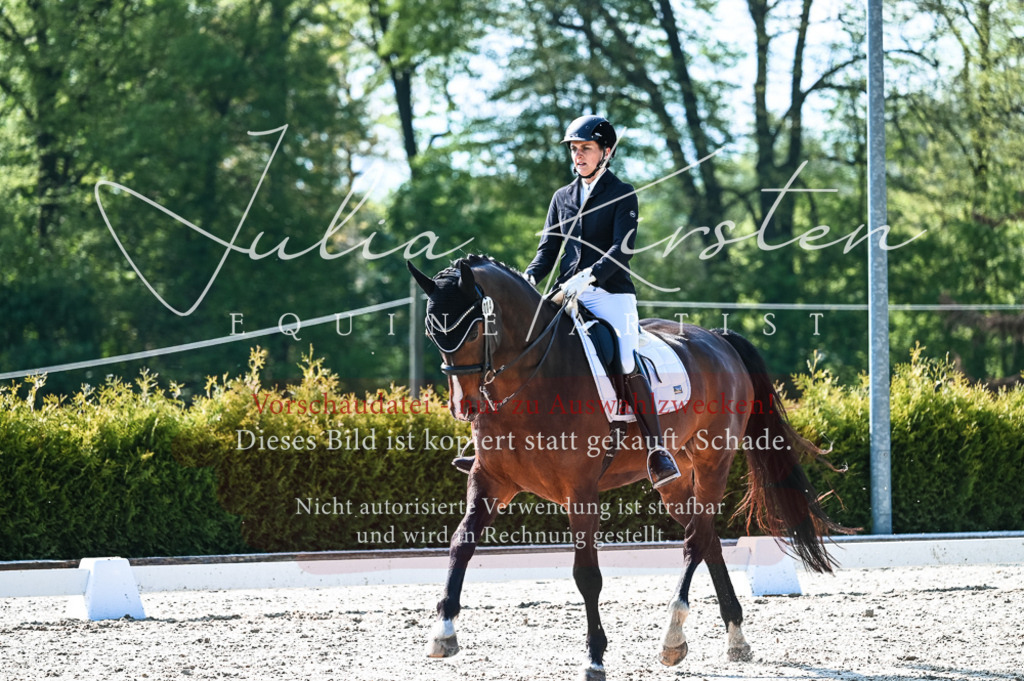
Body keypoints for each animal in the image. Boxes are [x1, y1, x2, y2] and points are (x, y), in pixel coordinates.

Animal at [408, 254, 848, 680]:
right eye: (432, 334)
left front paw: (595, 657)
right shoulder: (491, 481)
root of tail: (716, 338)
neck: (531, 380)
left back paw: (673, 636)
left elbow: (587, 575)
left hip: (713, 459)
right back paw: (734, 637)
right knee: (705, 535)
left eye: (474, 331)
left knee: (695, 538)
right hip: (674, 477)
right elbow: (461, 542)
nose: (464, 407)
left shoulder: (580, 491)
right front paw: (442, 633)